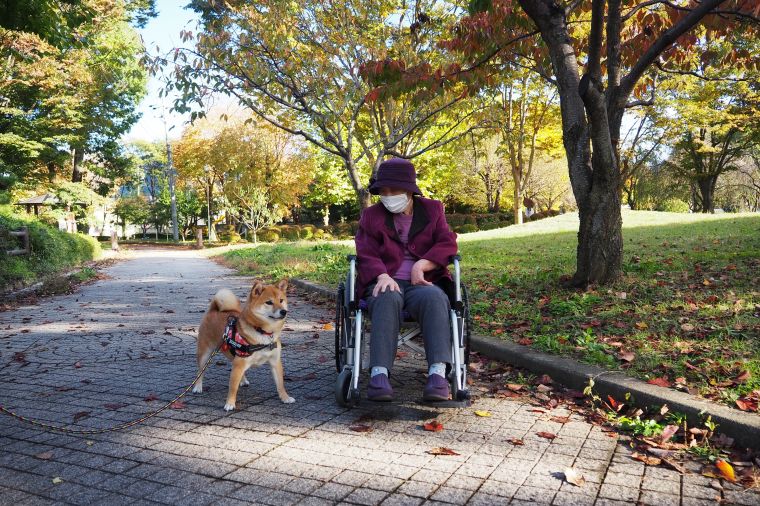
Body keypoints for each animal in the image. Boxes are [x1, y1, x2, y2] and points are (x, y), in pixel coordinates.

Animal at [193, 278, 294, 410]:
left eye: (281, 300)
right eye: (269, 302)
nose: (283, 311)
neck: (262, 332)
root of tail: (214, 310)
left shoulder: (275, 362)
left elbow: (280, 384)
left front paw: (285, 397)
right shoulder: (239, 364)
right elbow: (233, 387)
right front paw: (230, 403)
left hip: (235, 356)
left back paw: (243, 380)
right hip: (205, 354)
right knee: (200, 372)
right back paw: (197, 387)